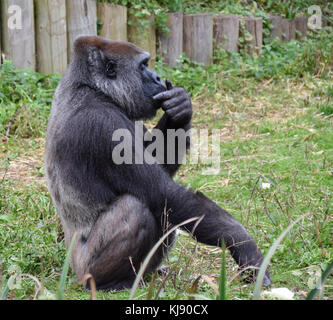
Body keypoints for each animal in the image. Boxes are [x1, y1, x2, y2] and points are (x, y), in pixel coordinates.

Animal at [45, 35, 272, 290]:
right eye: (143, 65)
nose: (156, 77)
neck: (92, 88)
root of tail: (73, 271)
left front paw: (181, 110)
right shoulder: (101, 124)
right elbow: (163, 193)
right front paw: (244, 245)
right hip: (84, 269)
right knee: (137, 209)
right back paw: (110, 281)